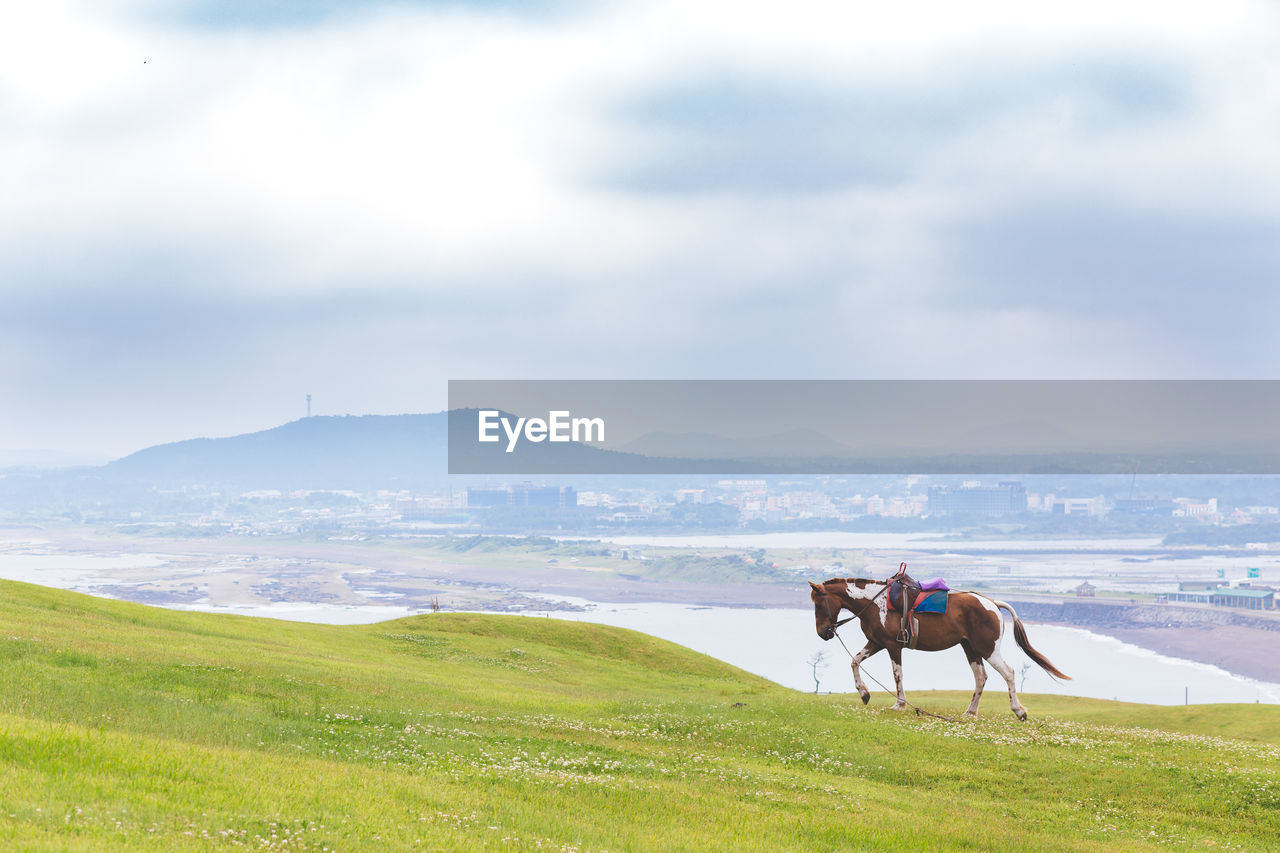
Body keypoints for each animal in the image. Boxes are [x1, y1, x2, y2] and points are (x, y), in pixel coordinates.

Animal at [808, 571, 1070, 717]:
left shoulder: (892, 646)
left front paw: (899, 704)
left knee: (1008, 673)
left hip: (988, 649)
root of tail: (992, 603)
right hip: (970, 648)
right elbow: (854, 661)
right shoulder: (875, 642)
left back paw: (1018, 711)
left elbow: (897, 675)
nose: (823, 633)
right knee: (981, 677)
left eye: (819, 604)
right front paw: (864, 693)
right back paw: (970, 712)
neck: (875, 603)